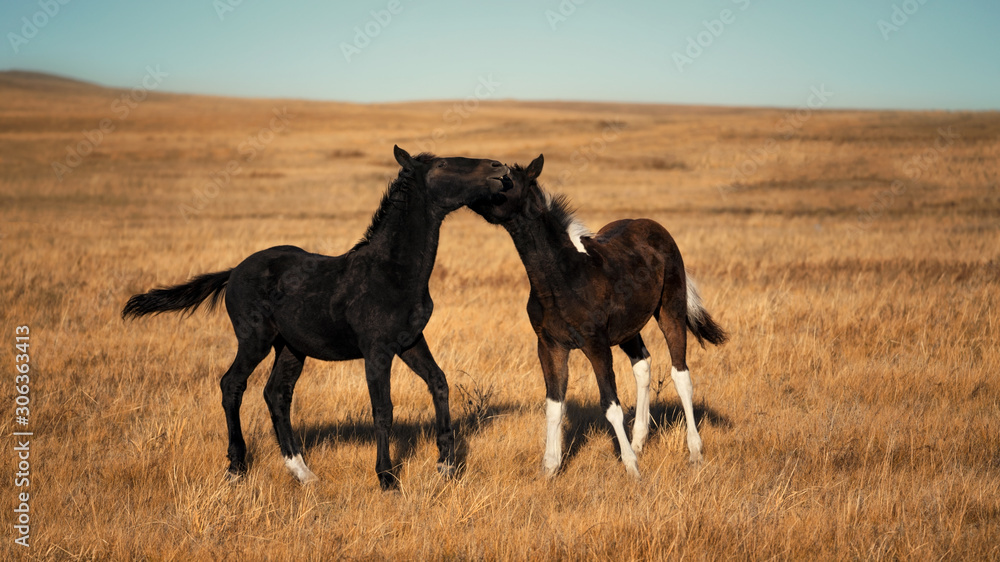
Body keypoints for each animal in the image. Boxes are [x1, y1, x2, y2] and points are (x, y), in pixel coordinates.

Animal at [123, 146, 510, 490]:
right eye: (442, 164)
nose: (499, 168)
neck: (392, 271)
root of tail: (234, 271)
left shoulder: (411, 341)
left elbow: (439, 383)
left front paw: (446, 465)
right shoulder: (377, 350)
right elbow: (382, 409)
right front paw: (386, 478)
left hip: (290, 348)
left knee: (276, 394)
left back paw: (302, 472)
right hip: (255, 339)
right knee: (232, 384)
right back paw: (236, 468)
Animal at [469, 155, 727, 478]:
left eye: (507, 180)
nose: (468, 194)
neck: (563, 277)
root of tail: (657, 228)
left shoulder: (597, 345)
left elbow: (611, 404)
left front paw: (631, 468)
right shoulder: (550, 345)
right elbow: (554, 405)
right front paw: (550, 469)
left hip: (671, 310)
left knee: (681, 374)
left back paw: (694, 452)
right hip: (629, 329)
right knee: (643, 365)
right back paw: (639, 441)